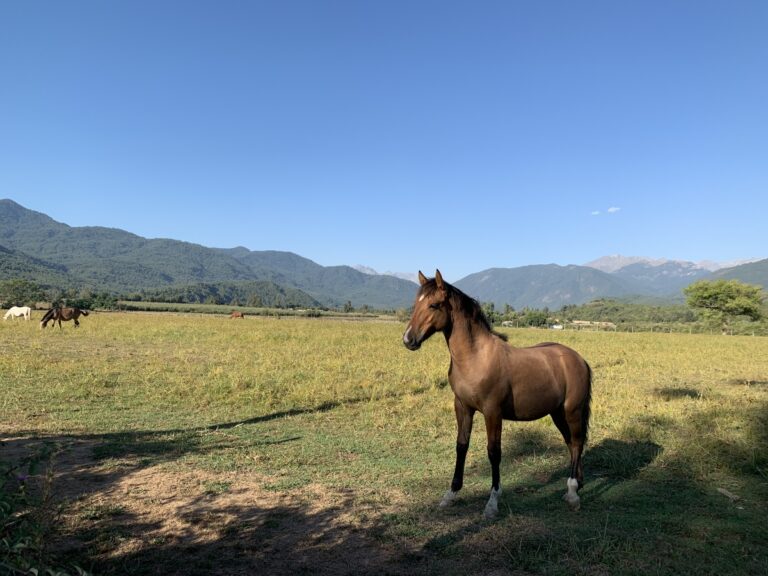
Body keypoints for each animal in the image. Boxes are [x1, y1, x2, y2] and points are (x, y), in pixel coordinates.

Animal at [402, 270, 592, 516]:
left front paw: (492, 502)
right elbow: (461, 446)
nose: (408, 340)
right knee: (571, 443)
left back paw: (572, 492)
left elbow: (494, 452)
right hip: (557, 413)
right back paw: (578, 484)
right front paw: (451, 494)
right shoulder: (463, 407)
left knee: (577, 442)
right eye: (416, 303)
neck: (475, 357)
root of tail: (578, 359)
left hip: (572, 411)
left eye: (434, 305)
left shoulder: (492, 412)